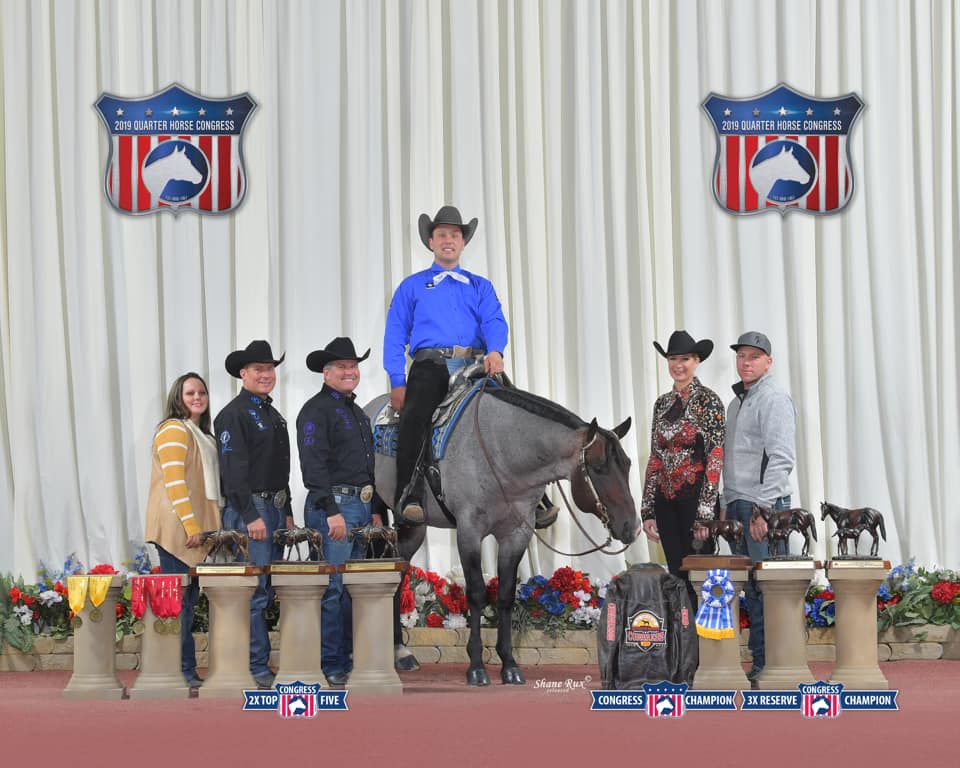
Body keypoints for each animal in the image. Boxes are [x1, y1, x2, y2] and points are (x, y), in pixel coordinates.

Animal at [366, 388, 636, 688]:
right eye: (598, 467)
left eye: (628, 465)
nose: (631, 527)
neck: (504, 453)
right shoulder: (469, 531)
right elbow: (476, 594)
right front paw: (476, 667)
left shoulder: (516, 534)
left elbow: (506, 595)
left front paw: (509, 664)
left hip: (415, 528)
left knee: (400, 573)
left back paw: (401, 652)